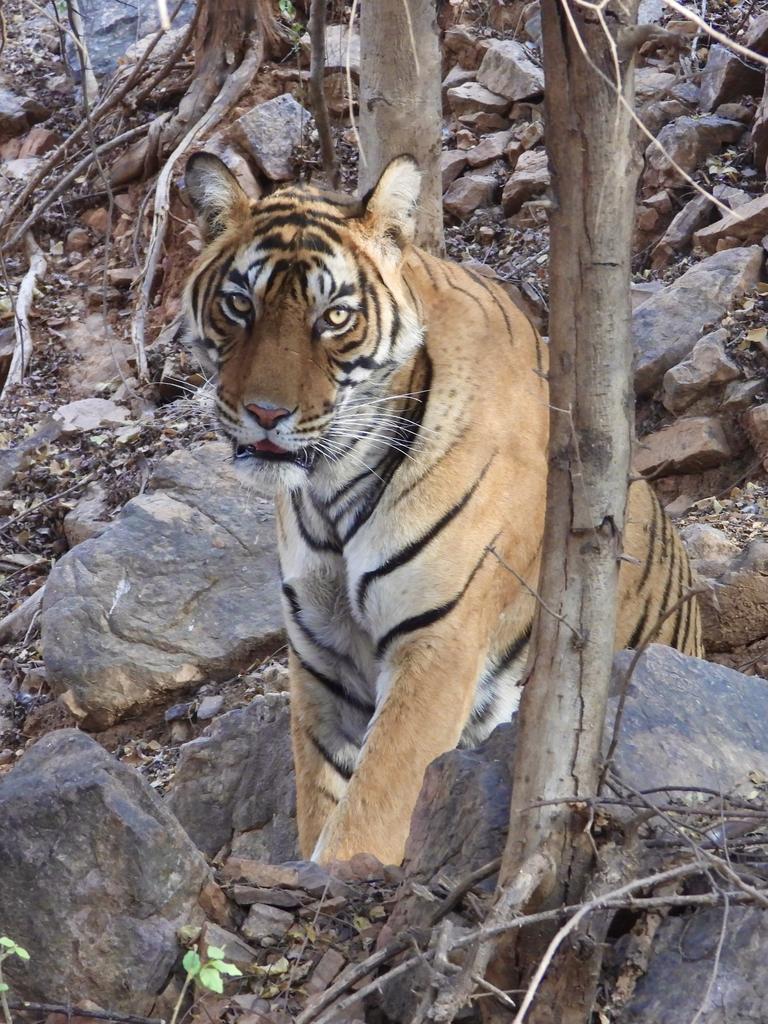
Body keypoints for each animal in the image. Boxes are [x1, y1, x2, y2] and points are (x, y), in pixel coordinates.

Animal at [182, 148, 704, 860]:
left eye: (335, 317)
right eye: (239, 305)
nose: (265, 413)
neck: (330, 486)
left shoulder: (438, 643)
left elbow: (371, 811)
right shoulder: (323, 659)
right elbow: (321, 799)